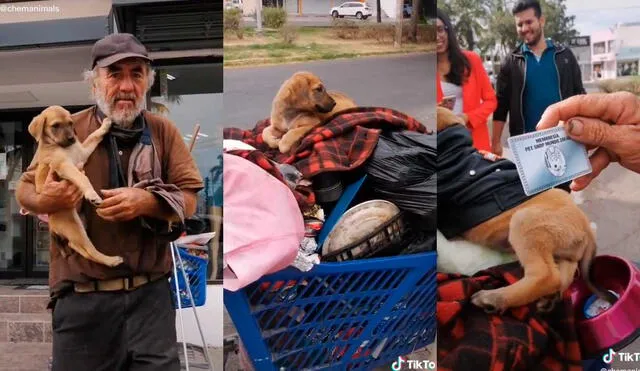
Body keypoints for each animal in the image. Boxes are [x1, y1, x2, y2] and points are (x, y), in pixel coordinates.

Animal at [28, 107, 124, 268]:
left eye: (70, 123)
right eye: (55, 126)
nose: (72, 138)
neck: (59, 146)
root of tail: (51, 226)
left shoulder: (82, 153)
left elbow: (93, 136)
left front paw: (105, 125)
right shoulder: (64, 166)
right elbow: (82, 178)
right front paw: (92, 195)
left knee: (76, 246)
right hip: (74, 227)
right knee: (88, 250)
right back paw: (111, 260)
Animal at [438, 107, 612, 314]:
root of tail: (587, 228)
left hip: (524, 221)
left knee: (546, 276)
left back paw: (493, 298)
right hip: (562, 251)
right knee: (564, 275)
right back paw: (549, 299)